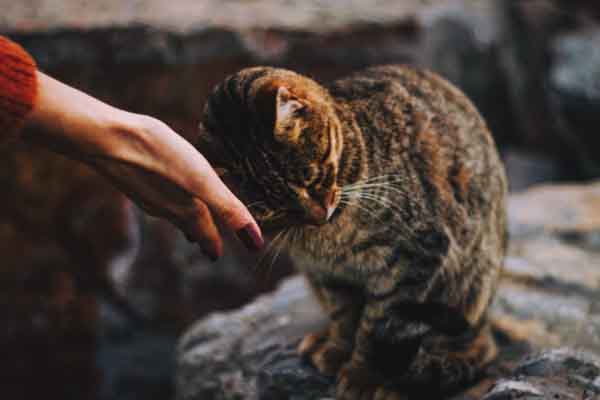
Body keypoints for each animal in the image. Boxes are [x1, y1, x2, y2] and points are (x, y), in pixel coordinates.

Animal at [197, 64, 506, 398]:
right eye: (272, 210)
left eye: (310, 177)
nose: (318, 217)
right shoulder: (328, 273)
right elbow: (344, 315)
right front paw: (336, 349)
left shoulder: (415, 257)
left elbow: (379, 327)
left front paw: (362, 376)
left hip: (469, 285)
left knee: (475, 346)